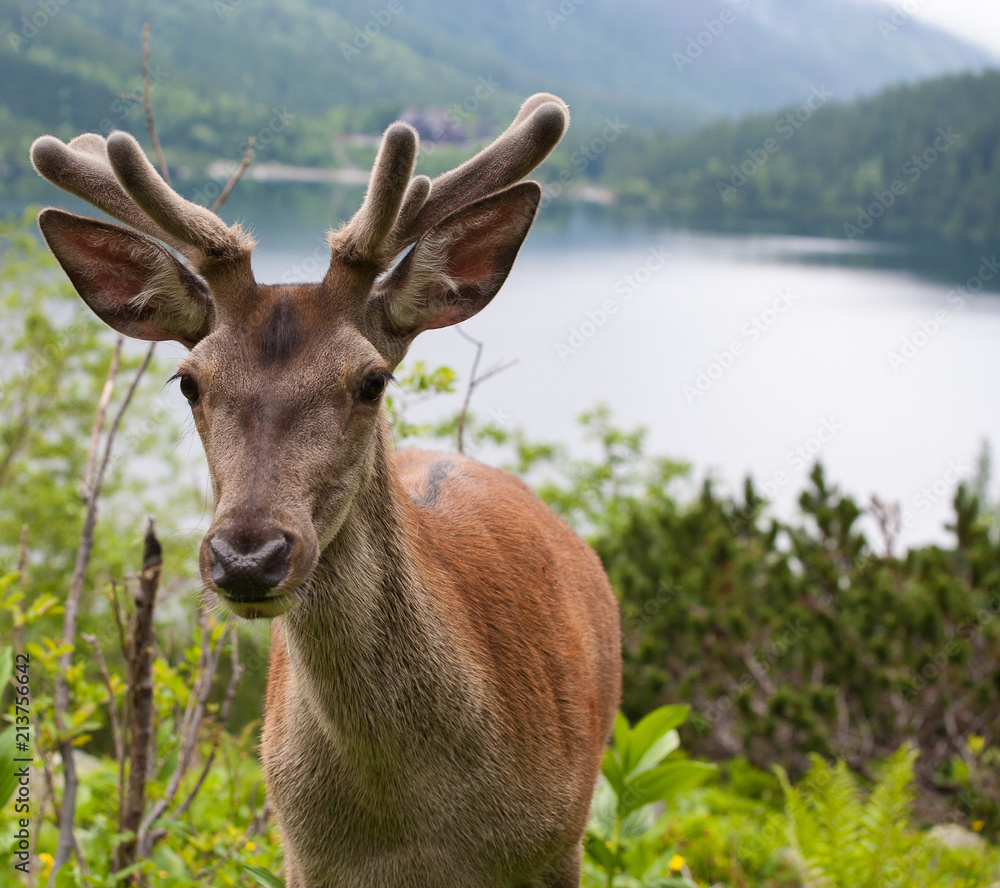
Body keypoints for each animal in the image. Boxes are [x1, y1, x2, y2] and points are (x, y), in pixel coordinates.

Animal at [30, 93, 622, 887]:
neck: (415, 823)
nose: (248, 558)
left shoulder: (559, 840)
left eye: (372, 379)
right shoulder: (304, 855)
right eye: (188, 381)